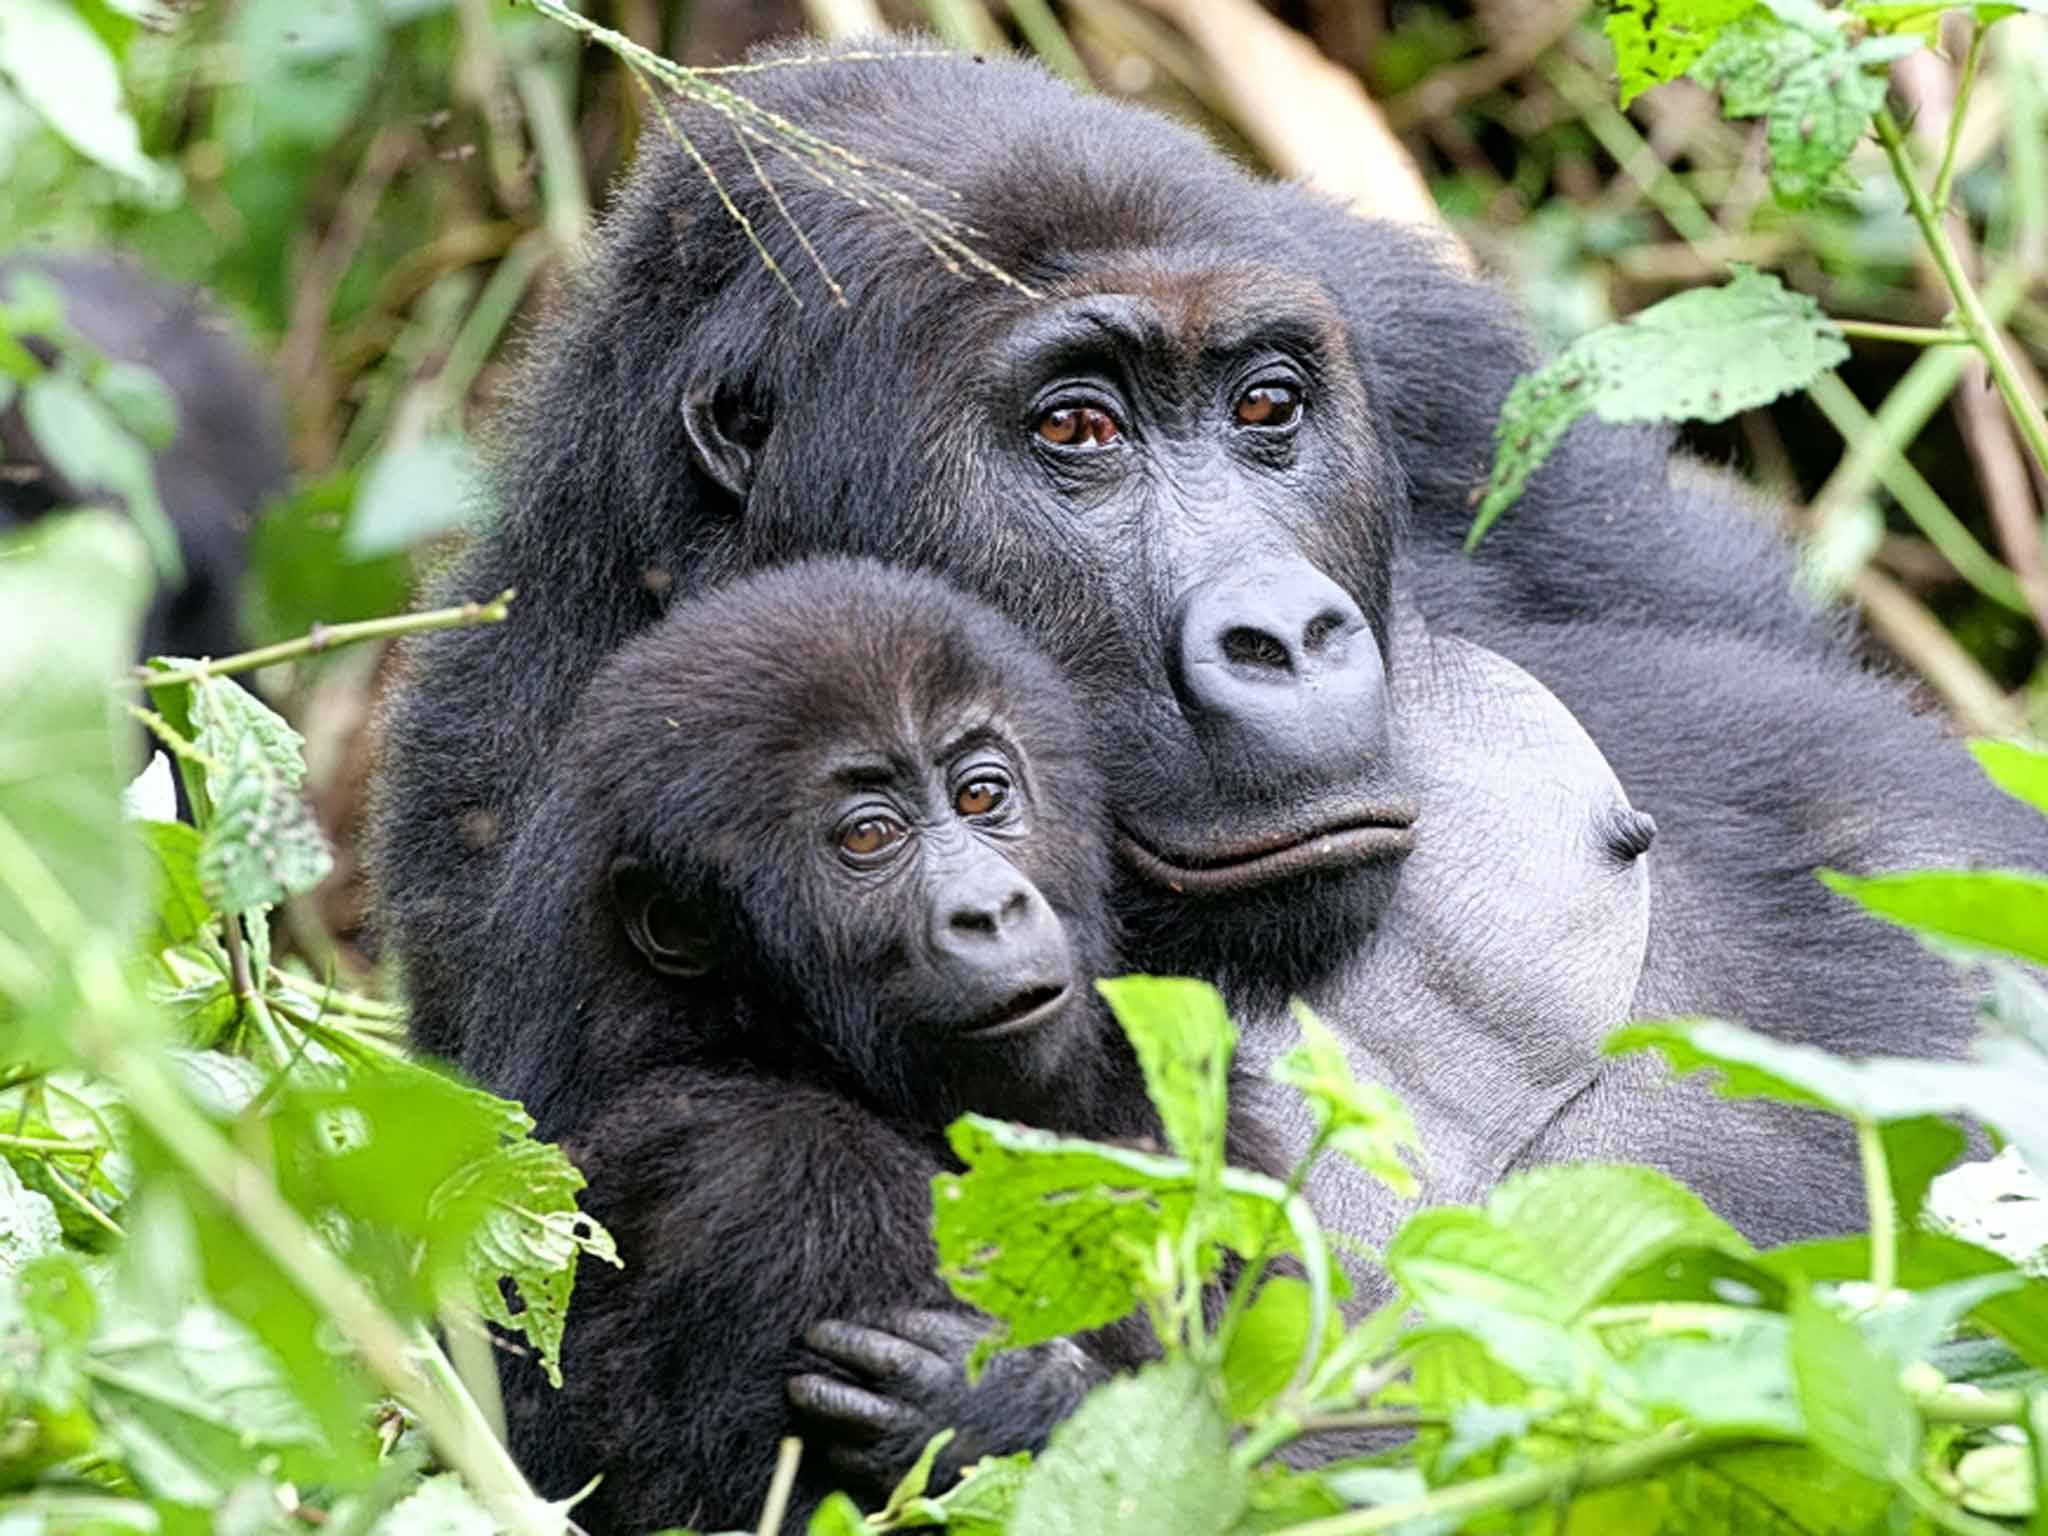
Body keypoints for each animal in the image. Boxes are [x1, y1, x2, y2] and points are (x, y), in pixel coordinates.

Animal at [468, 561, 1163, 1536]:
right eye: (868, 837)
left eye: (981, 796)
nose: (990, 910)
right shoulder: (781, 1173)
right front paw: (1011, 1406)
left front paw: (998, 1403)